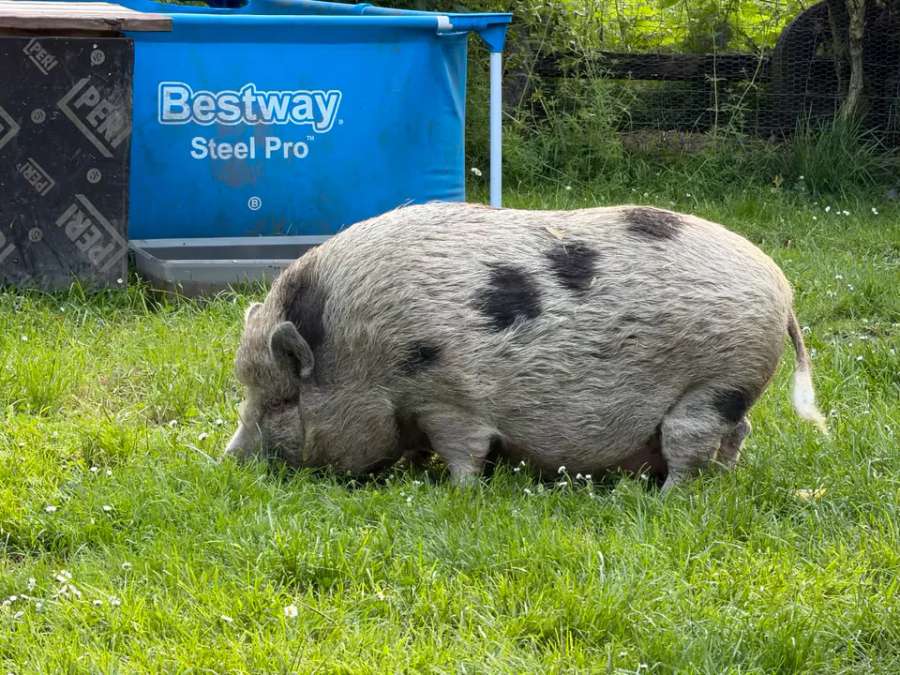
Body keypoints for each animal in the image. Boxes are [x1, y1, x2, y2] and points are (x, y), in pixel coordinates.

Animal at [226, 202, 827, 492]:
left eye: (284, 400)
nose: (228, 459)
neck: (363, 357)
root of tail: (782, 290)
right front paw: (416, 475)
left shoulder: (448, 397)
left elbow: (464, 451)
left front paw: (456, 493)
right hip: (734, 386)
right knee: (738, 433)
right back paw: (721, 482)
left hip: (716, 380)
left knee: (691, 443)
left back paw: (664, 499)